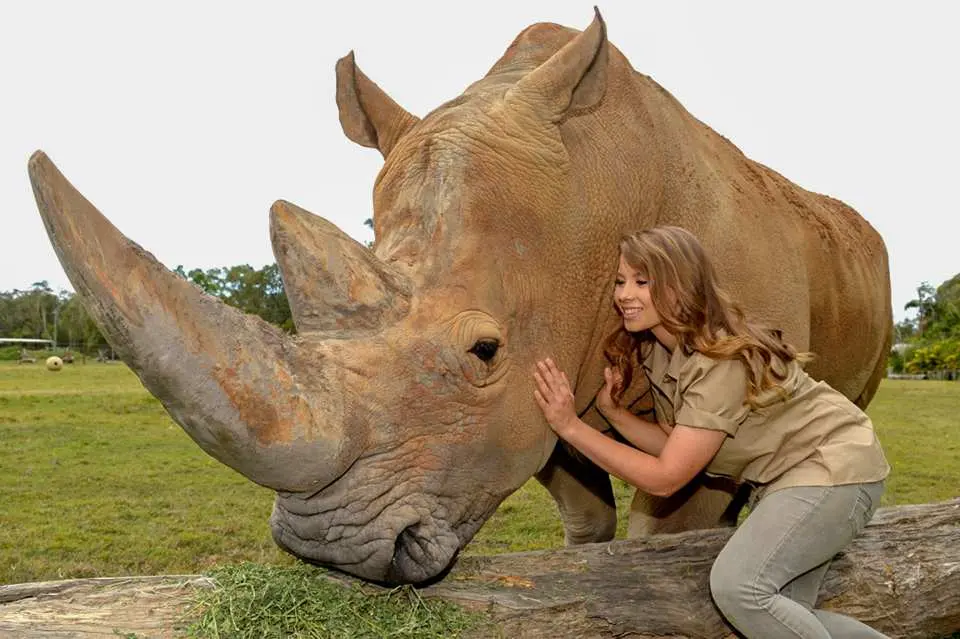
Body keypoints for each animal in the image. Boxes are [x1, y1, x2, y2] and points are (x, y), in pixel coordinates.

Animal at [29, 10, 891, 584]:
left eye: (484, 350)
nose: (328, 549)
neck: (596, 197)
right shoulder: (548, 389)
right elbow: (584, 514)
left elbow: (665, 529)